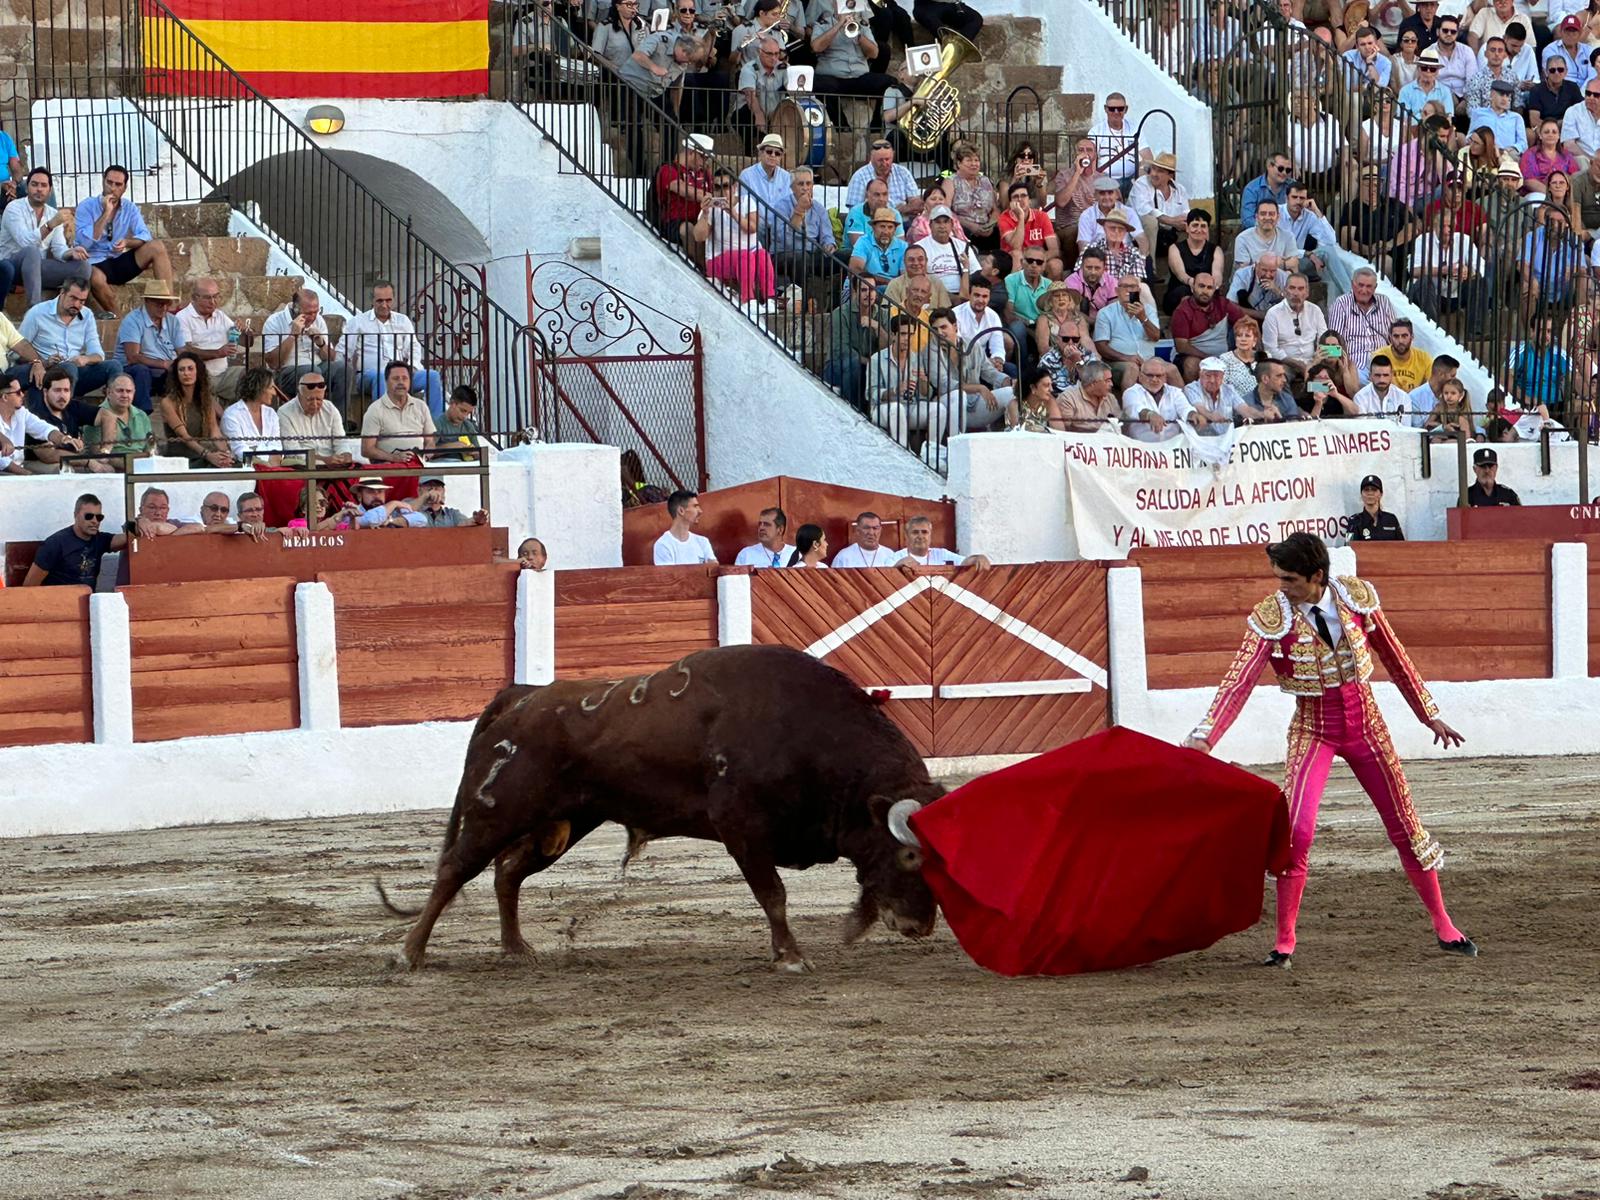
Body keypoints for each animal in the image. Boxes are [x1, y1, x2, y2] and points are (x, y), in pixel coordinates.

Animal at [379, 643, 940, 972]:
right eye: (910, 856)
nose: (921, 927)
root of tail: (521, 696)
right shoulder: (741, 829)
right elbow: (774, 895)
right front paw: (790, 957)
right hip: (499, 812)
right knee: (455, 870)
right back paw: (410, 953)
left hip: (566, 822)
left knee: (508, 872)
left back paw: (516, 948)